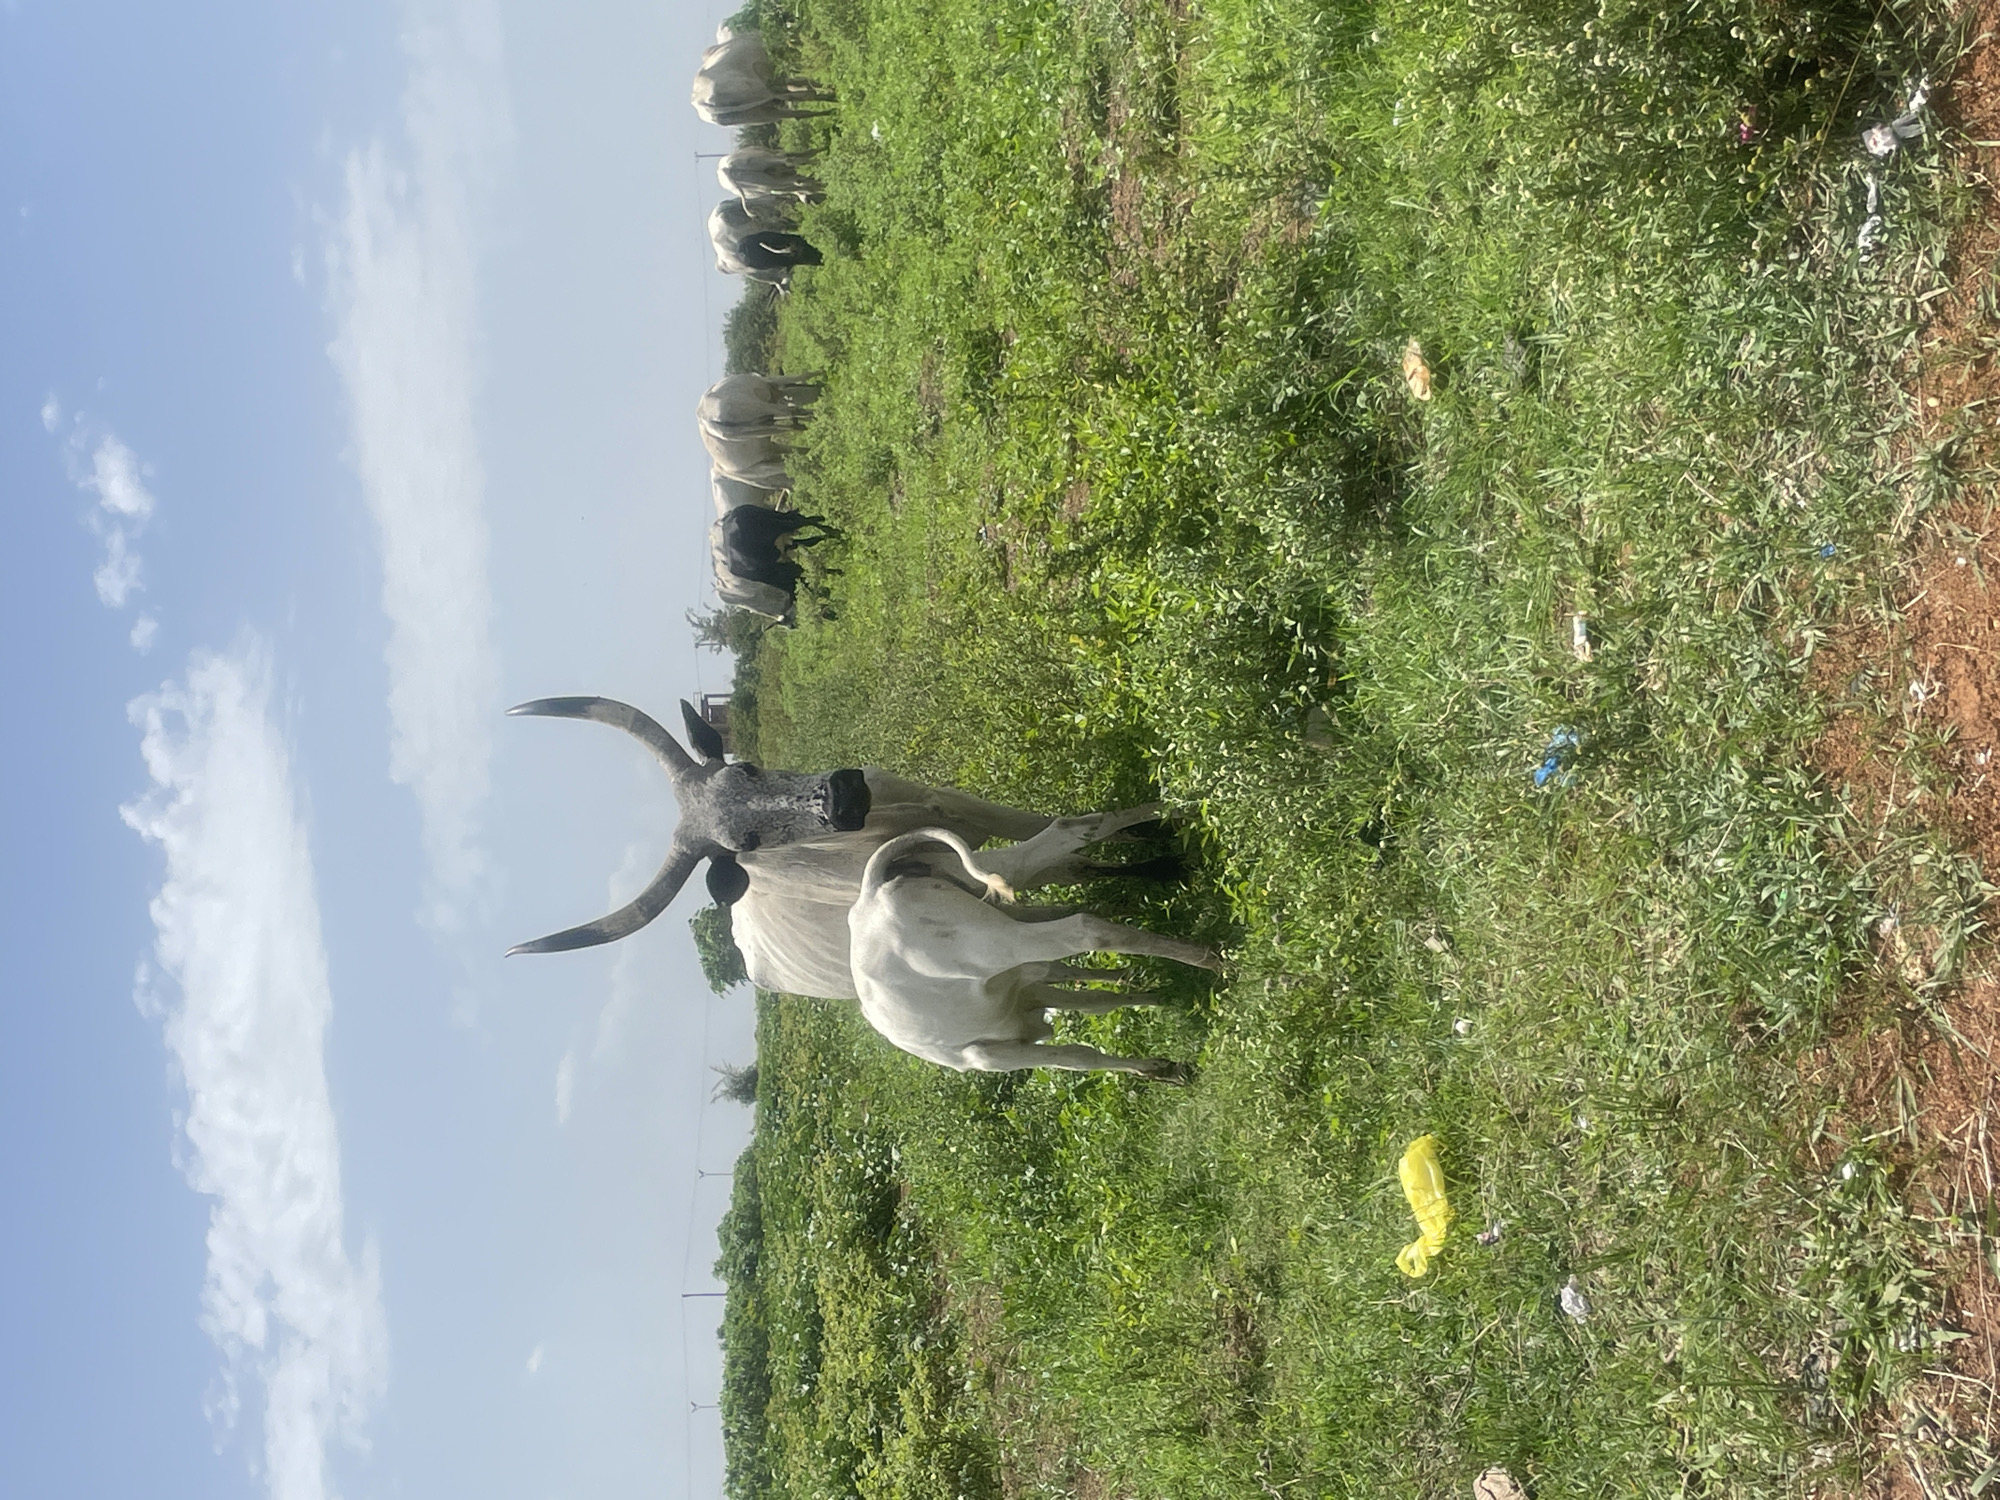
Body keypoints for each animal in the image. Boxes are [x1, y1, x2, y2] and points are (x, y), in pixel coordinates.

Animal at [847, 826, 1221, 1078]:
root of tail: (872, 892)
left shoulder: (987, 1056)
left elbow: (1078, 1057)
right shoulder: (1027, 989)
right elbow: (1098, 1007)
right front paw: (1165, 1000)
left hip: (999, 943)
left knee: (1087, 929)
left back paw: (1212, 959)